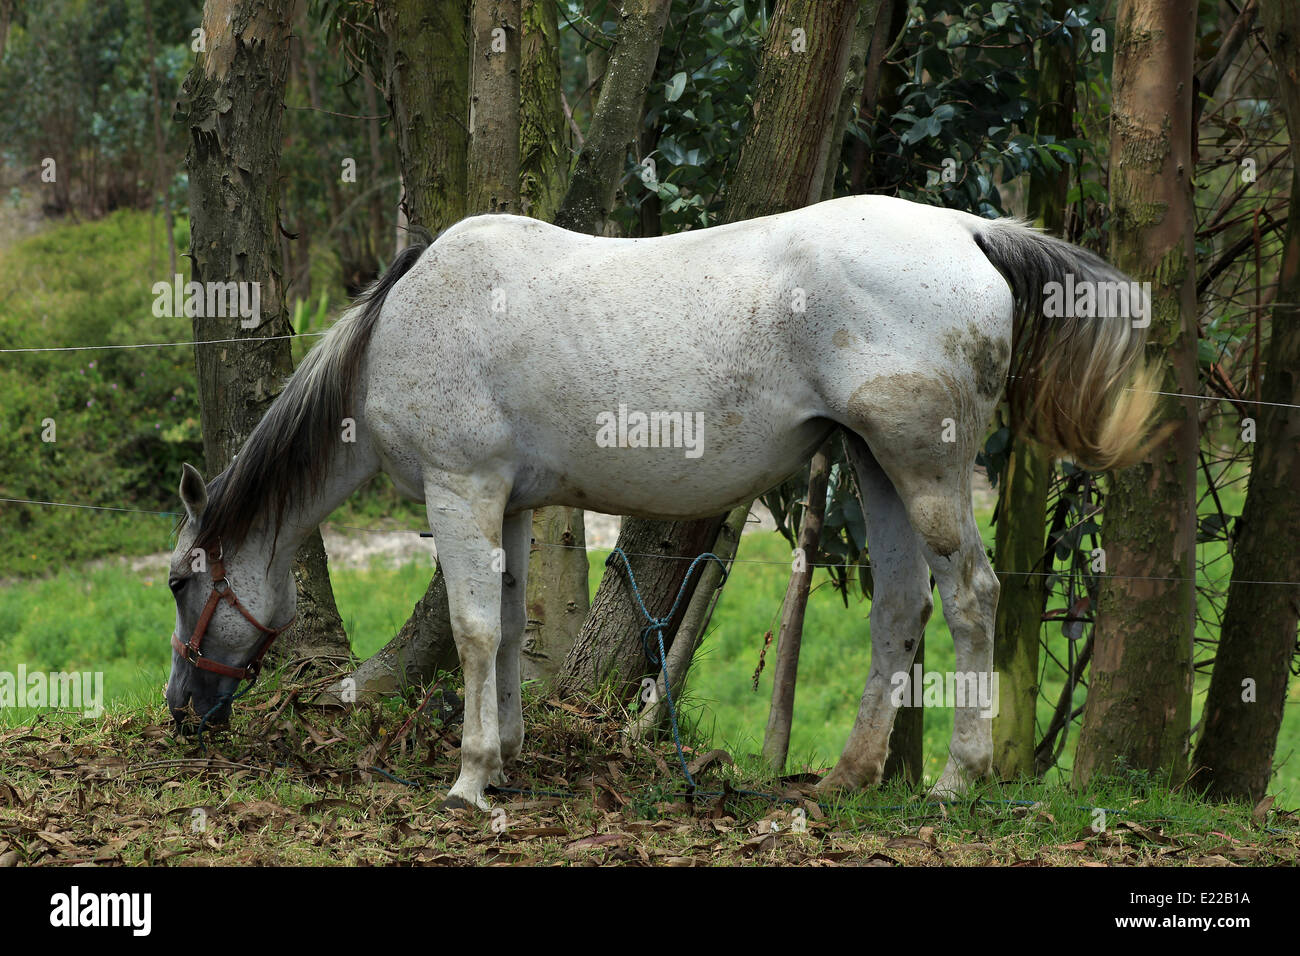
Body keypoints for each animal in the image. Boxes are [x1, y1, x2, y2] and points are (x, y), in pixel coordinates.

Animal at [165, 195, 1159, 806]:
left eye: (181, 582)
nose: (180, 709)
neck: (403, 325)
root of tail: (966, 228)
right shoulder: (508, 504)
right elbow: (512, 625)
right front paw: (510, 756)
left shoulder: (462, 490)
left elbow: (474, 630)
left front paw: (472, 776)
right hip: (876, 466)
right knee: (901, 610)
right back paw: (848, 777)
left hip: (925, 467)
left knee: (970, 599)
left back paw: (958, 777)